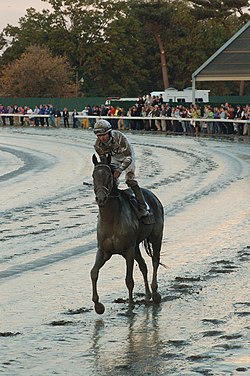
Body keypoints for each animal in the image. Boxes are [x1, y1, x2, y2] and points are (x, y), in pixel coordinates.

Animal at [90, 153, 164, 314]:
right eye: (94, 175)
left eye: (108, 176)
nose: (101, 198)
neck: (112, 219)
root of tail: (153, 196)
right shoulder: (104, 251)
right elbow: (94, 273)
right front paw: (98, 305)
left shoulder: (128, 250)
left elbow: (129, 280)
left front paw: (130, 306)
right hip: (136, 246)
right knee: (143, 266)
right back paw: (147, 296)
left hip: (156, 237)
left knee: (155, 261)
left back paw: (155, 293)